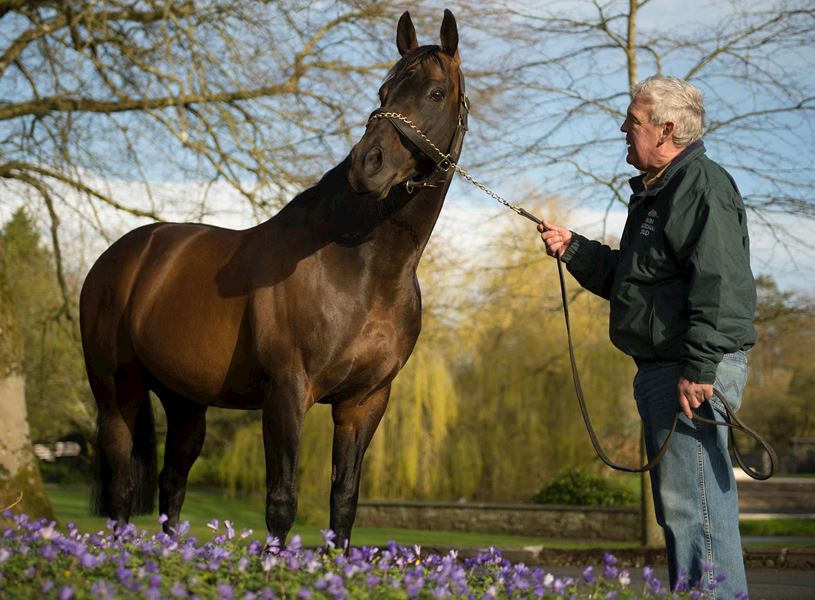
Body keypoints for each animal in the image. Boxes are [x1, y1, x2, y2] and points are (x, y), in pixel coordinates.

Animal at [79, 9, 468, 547]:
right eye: (384, 90)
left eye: (435, 92)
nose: (367, 166)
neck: (360, 269)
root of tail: (117, 258)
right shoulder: (285, 392)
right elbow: (281, 503)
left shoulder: (365, 403)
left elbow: (343, 505)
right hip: (117, 394)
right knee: (121, 492)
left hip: (185, 404)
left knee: (171, 486)